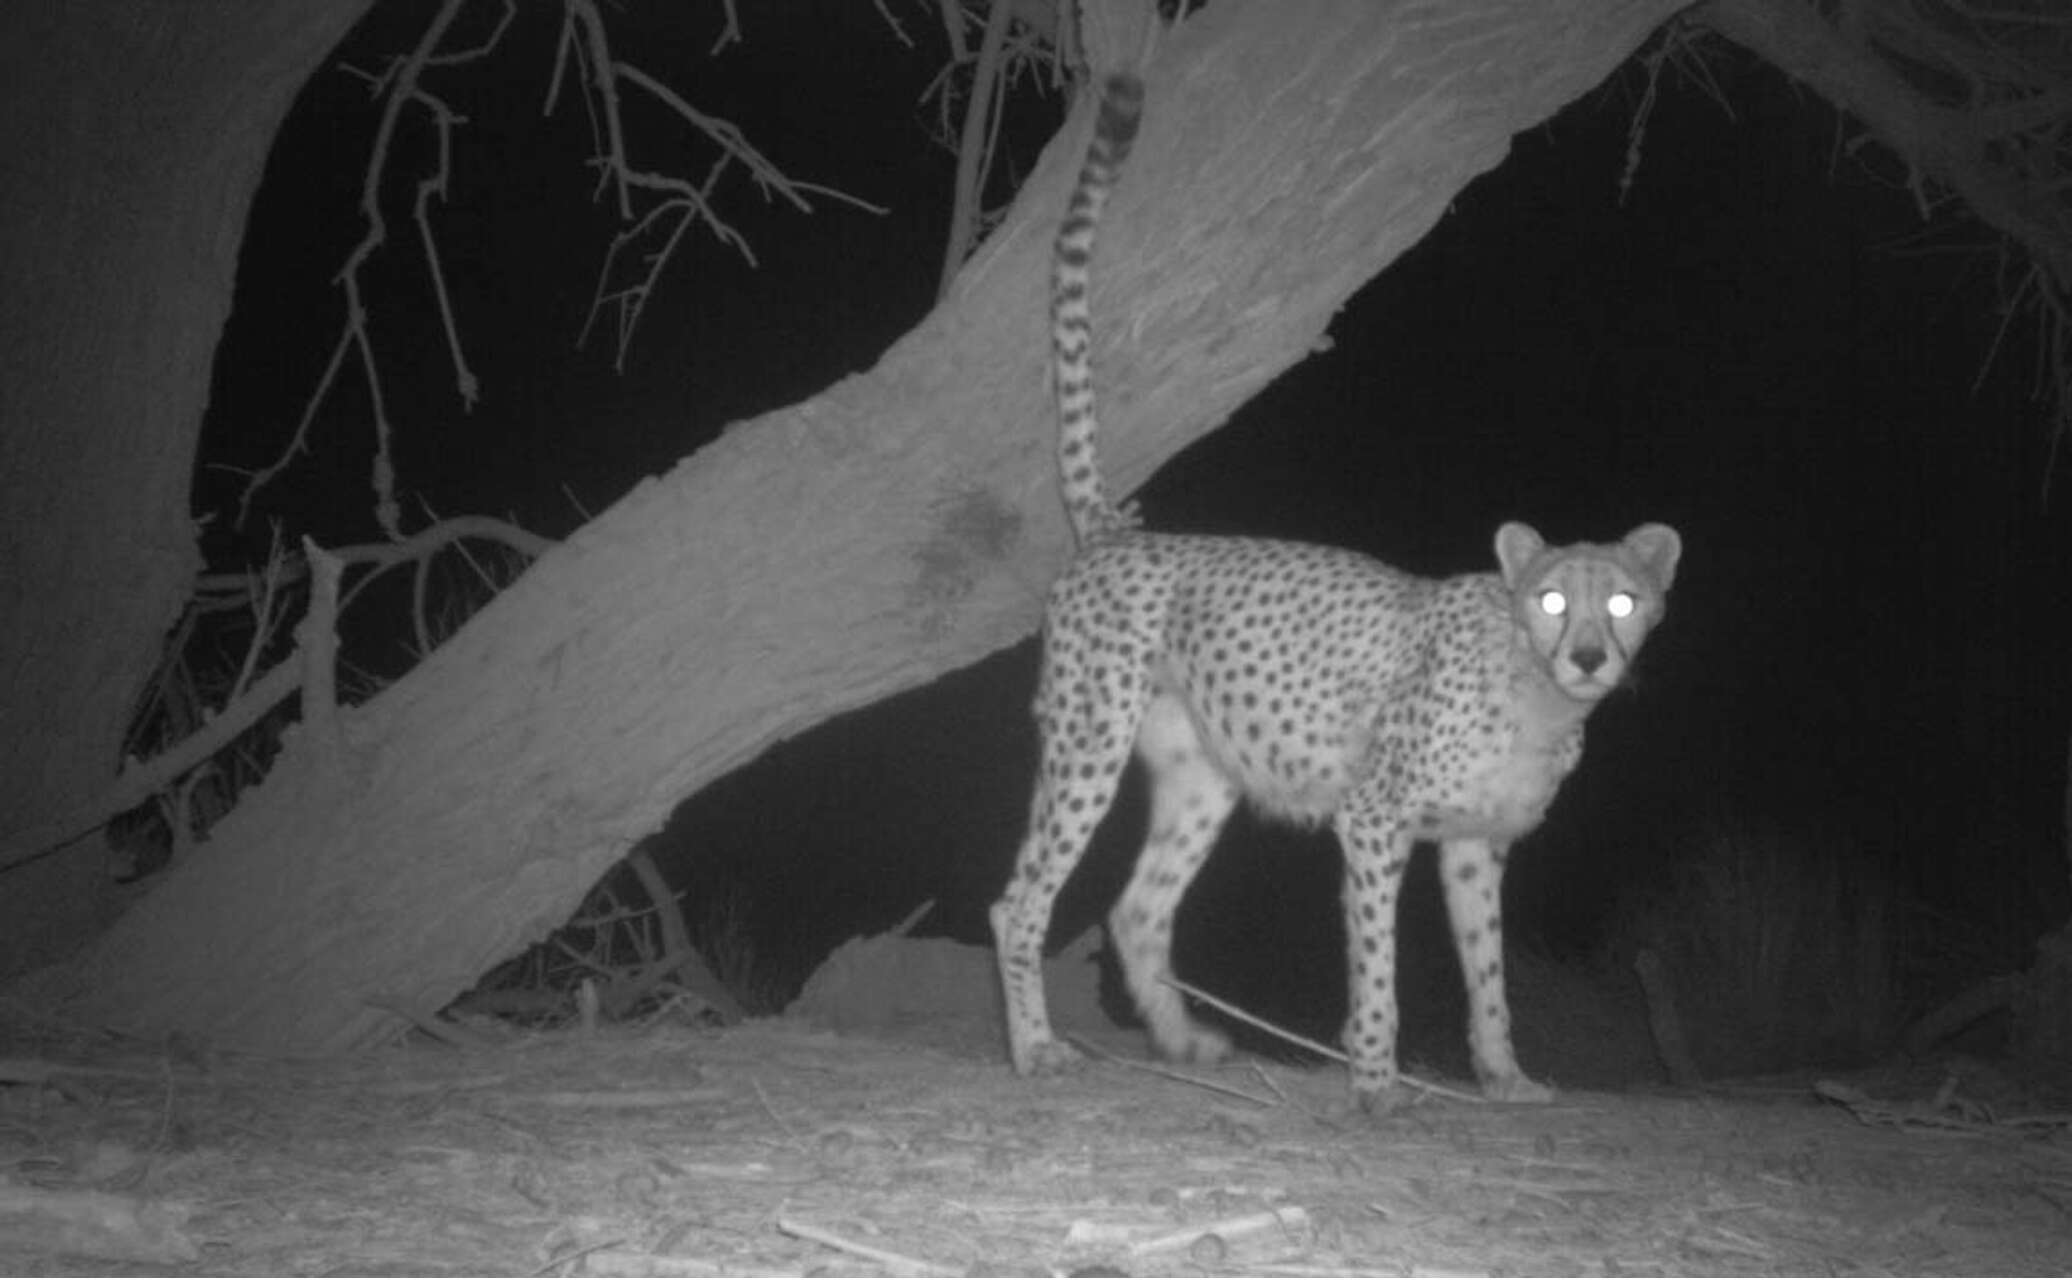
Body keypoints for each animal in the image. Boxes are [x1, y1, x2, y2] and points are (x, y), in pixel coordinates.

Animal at [986, 72, 1682, 1110]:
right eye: (1554, 601)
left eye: (1626, 602)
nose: (1593, 655)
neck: (1537, 692)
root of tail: (1117, 530)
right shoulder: (1375, 816)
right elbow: (1377, 960)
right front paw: (1376, 1078)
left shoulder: (1475, 845)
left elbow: (1489, 972)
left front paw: (1506, 1076)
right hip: (1087, 741)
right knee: (1020, 900)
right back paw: (1034, 1049)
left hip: (1201, 775)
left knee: (1138, 909)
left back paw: (1183, 1043)